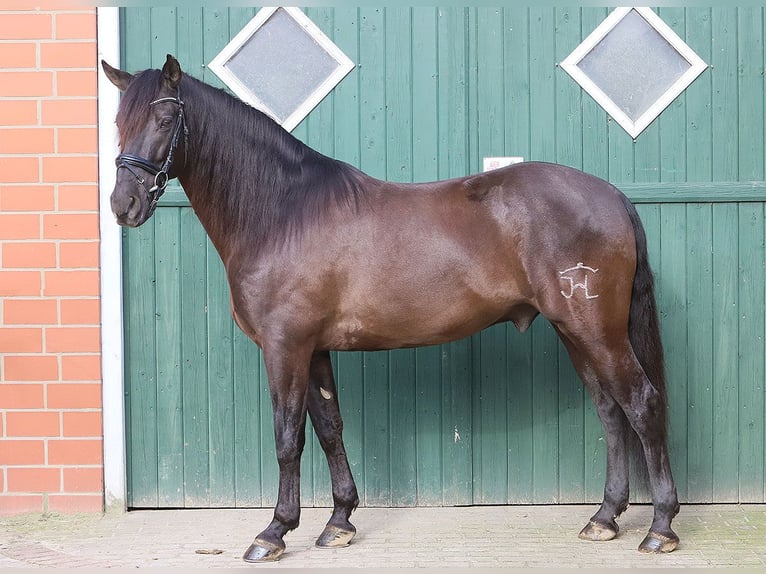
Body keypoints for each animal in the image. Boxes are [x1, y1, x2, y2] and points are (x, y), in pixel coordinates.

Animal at [103, 55, 684, 564]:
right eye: (117, 122)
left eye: (164, 119)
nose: (122, 205)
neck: (283, 212)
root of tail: (613, 196)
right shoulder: (315, 350)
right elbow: (330, 428)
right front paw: (339, 521)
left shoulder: (285, 347)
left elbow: (288, 437)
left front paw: (274, 532)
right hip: (575, 331)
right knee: (610, 411)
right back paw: (604, 518)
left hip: (598, 330)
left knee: (641, 404)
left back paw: (660, 527)